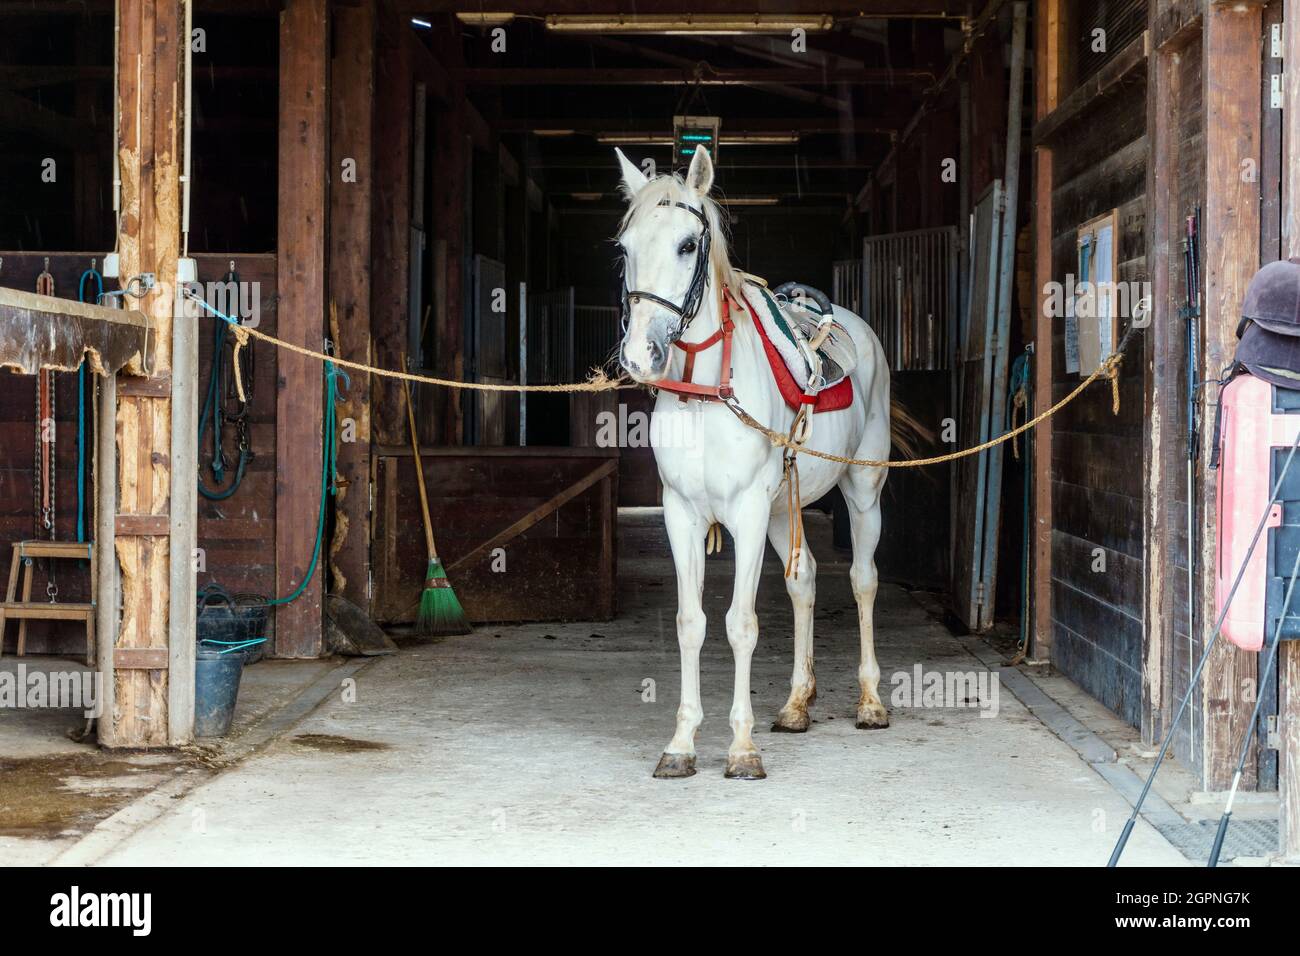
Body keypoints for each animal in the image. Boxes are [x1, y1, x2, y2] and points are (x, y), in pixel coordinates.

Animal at [615, 145, 906, 780]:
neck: (707, 393)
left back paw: (871, 702)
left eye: (687, 245)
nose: (641, 355)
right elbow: (691, 624)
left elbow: (740, 625)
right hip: (780, 510)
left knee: (863, 579)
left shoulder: (746, 512)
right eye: (625, 248)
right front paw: (681, 744)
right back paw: (797, 704)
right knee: (805, 581)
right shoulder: (682, 514)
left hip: (861, 490)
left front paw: (742, 749)